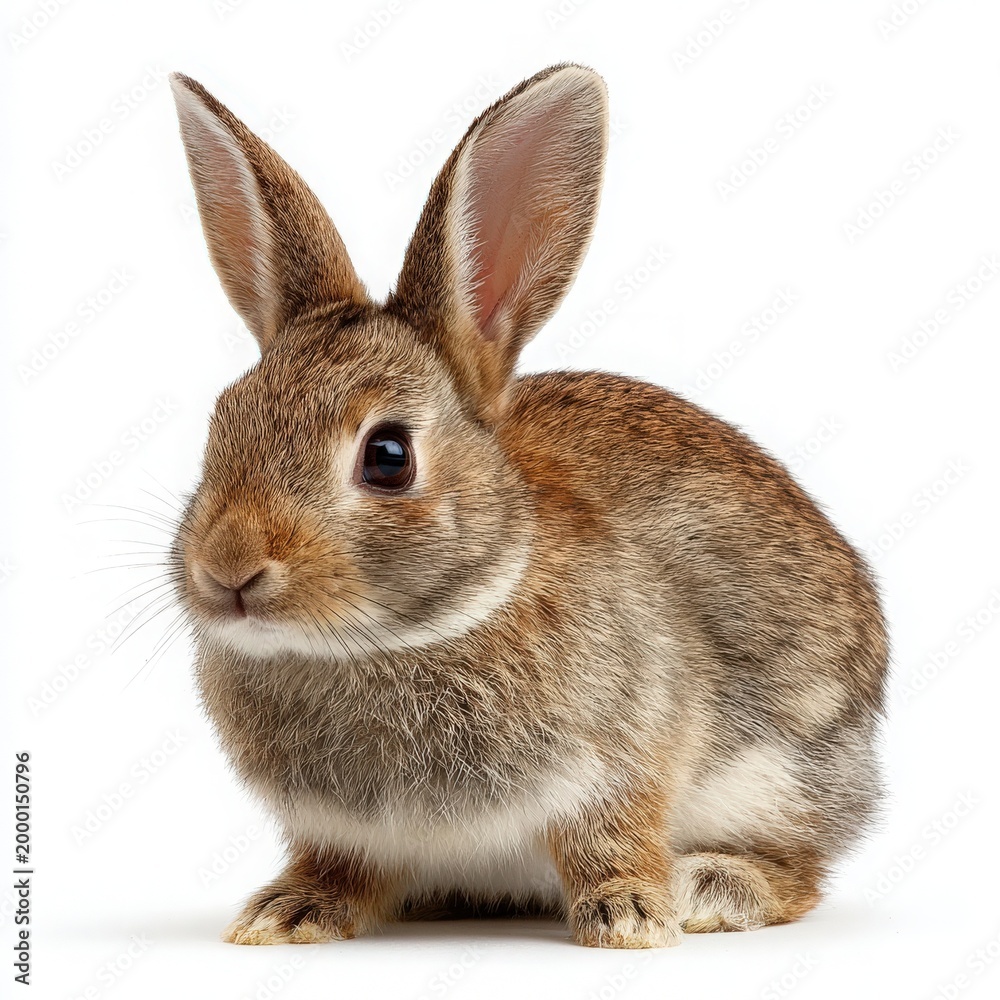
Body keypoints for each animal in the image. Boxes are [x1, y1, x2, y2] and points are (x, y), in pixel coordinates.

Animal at [167, 64, 889, 949]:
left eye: (388, 456)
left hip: (788, 772)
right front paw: (288, 912)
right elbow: (339, 865)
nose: (226, 568)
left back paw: (714, 887)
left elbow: (611, 836)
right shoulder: (340, 830)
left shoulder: (625, 759)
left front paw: (630, 917)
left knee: (804, 867)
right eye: (219, 424)